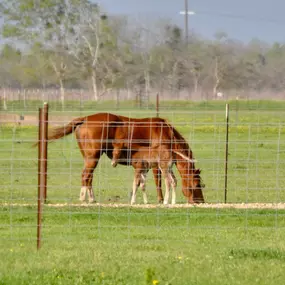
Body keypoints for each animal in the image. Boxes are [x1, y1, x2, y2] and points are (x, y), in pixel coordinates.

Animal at [46, 111, 204, 202]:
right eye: (197, 184)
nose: (200, 201)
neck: (165, 132)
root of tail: (84, 119)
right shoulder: (156, 164)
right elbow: (158, 181)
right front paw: (160, 200)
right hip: (93, 158)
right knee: (86, 176)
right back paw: (84, 198)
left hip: (90, 159)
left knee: (88, 177)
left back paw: (91, 198)